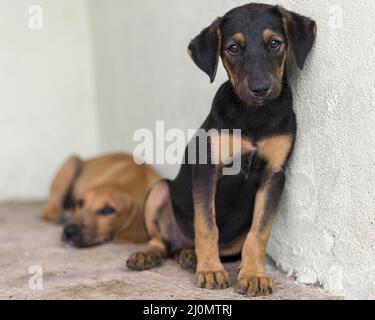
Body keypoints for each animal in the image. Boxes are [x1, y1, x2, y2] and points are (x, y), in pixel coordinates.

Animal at [127, 3, 318, 298]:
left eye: (275, 43)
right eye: (233, 48)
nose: (260, 89)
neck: (254, 116)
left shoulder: (274, 175)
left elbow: (259, 233)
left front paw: (253, 275)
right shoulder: (207, 169)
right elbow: (207, 226)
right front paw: (210, 271)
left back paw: (189, 256)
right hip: (159, 190)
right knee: (160, 239)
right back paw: (150, 255)